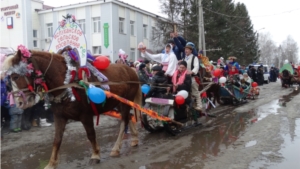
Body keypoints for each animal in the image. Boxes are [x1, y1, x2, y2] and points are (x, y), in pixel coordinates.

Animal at [2, 49, 142, 169]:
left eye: (15, 76)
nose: (19, 103)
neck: (67, 82)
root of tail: (131, 71)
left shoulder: (86, 115)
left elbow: (91, 135)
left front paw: (95, 155)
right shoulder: (60, 117)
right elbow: (57, 140)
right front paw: (52, 163)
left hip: (125, 102)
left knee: (124, 122)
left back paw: (116, 148)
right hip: (119, 103)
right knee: (129, 118)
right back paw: (135, 139)